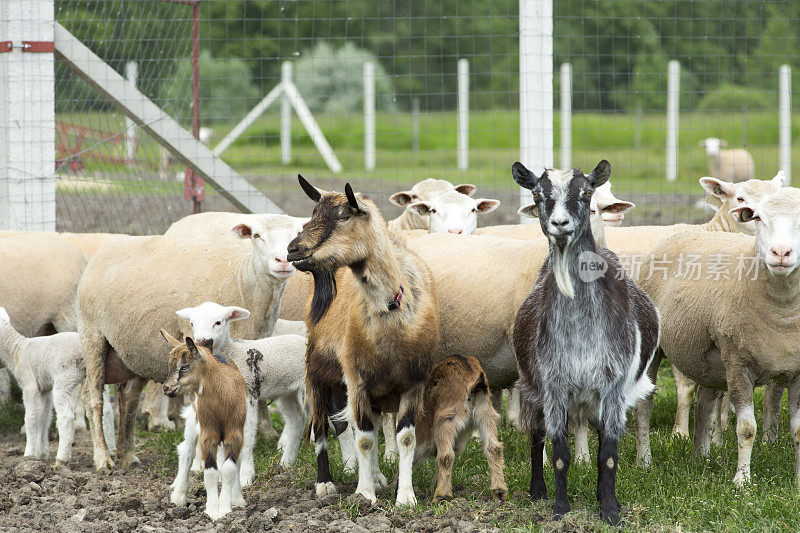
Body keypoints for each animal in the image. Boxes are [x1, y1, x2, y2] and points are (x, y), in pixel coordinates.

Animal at [418, 356, 506, 500]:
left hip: (446, 420)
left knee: (446, 455)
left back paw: (441, 495)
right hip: (486, 415)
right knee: (494, 447)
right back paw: (499, 491)